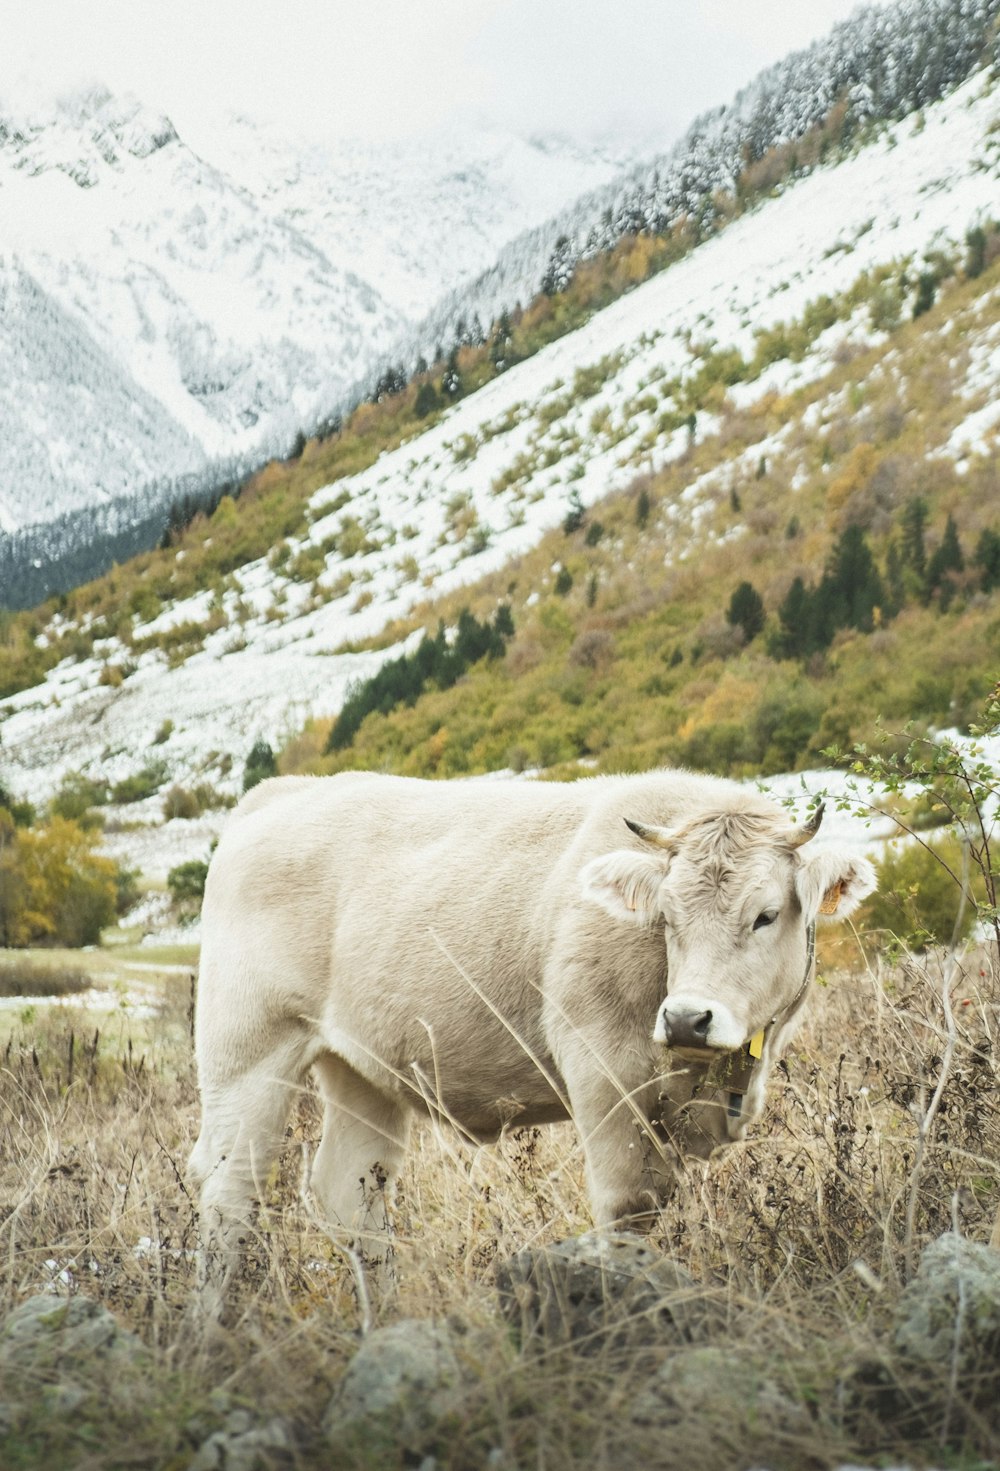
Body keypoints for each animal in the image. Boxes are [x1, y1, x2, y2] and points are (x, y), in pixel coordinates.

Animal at [189, 770, 876, 1288]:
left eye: (766, 915)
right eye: (668, 918)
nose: (687, 1017)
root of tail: (282, 792)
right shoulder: (605, 1079)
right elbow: (627, 1211)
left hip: (361, 1069)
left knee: (351, 1198)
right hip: (248, 1053)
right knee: (228, 1198)